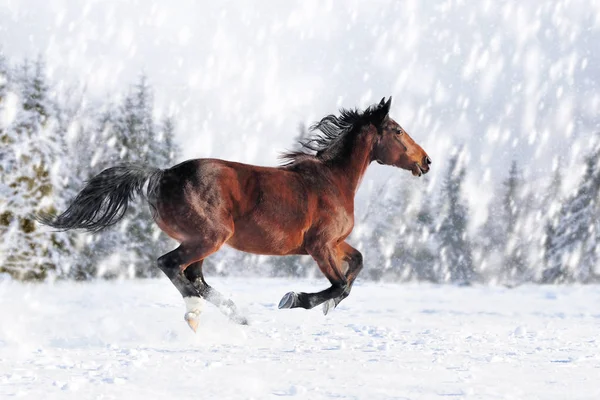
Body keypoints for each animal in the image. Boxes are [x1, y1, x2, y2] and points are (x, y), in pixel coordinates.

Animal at [37, 97, 432, 332]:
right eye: (397, 131)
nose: (426, 161)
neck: (332, 180)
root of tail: (162, 174)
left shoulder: (335, 243)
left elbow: (357, 267)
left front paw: (325, 307)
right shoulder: (320, 246)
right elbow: (340, 285)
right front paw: (295, 300)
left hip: (201, 242)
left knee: (193, 276)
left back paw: (235, 315)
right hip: (208, 238)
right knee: (171, 266)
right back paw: (197, 313)